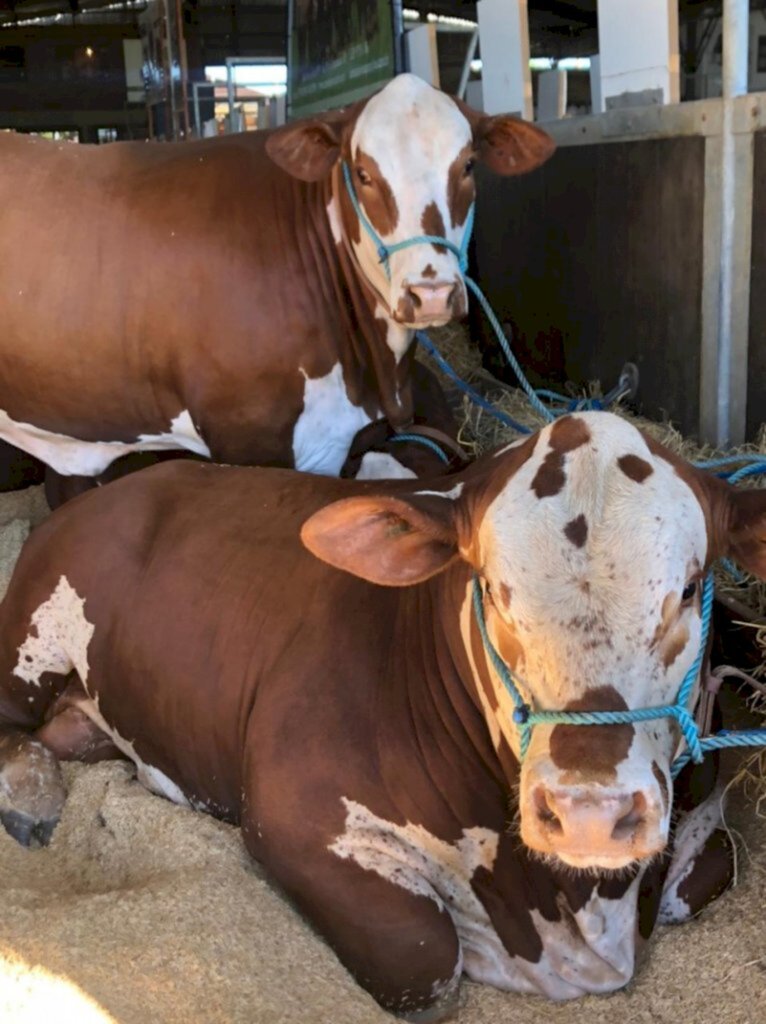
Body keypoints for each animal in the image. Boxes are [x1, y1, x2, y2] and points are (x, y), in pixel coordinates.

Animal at [0, 411, 761, 1019]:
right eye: (492, 587)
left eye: (689, 588)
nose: (589, 813)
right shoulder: (293, 815)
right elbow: (423, 959)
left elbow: (703, 873)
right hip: (29, 635)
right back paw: (31, 798)